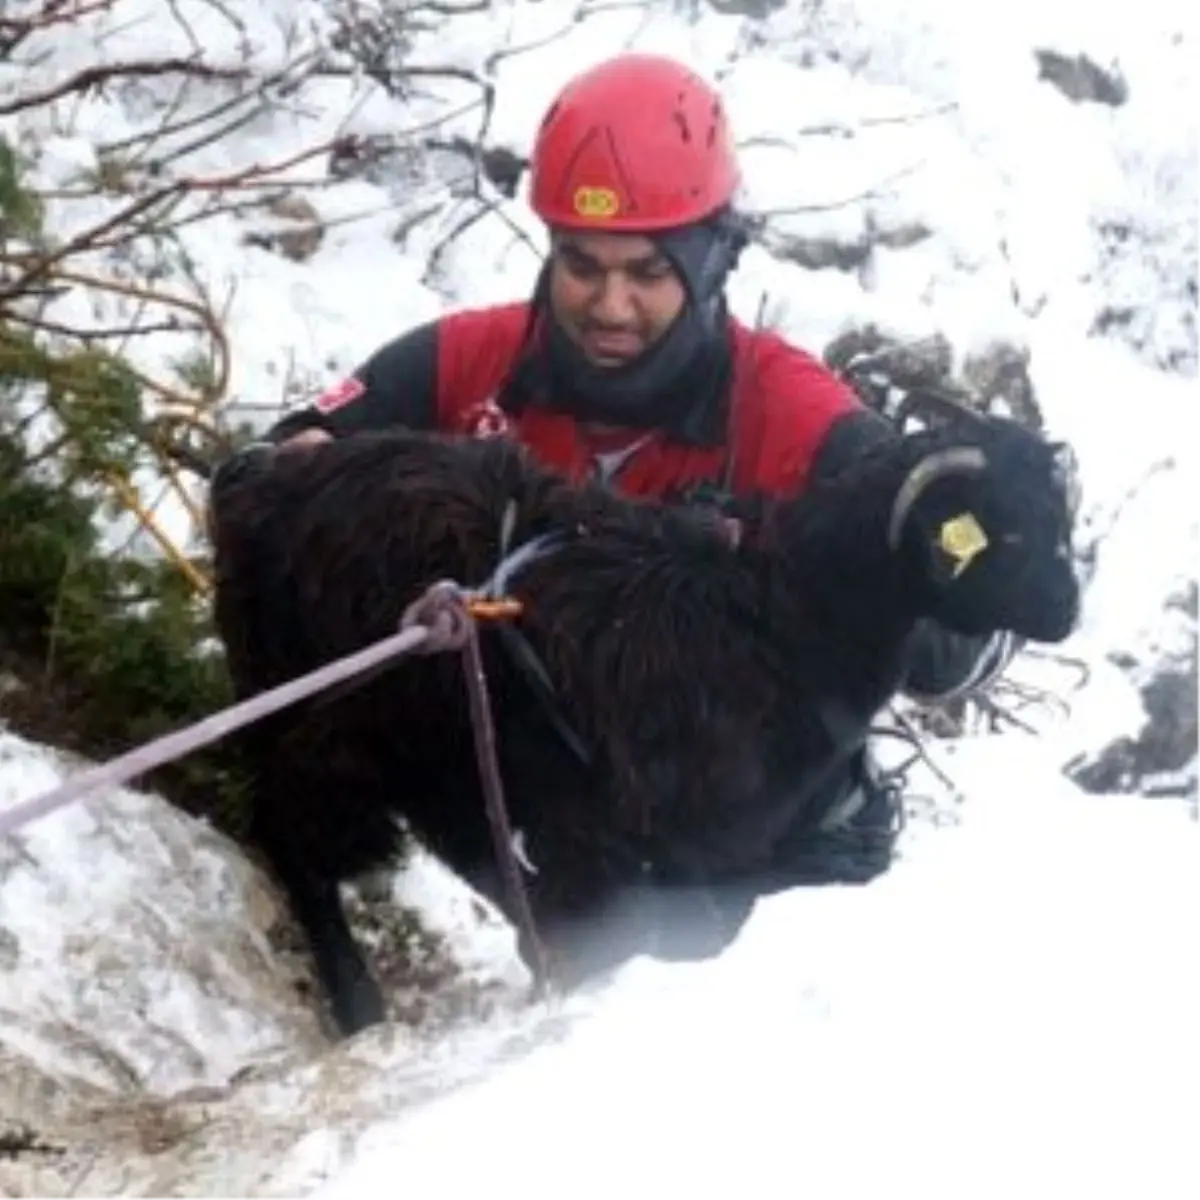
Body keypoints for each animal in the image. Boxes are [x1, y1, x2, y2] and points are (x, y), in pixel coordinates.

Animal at [211, 417, 1084, 1036]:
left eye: (1059, 522)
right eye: (1003, 533)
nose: (1068, 611)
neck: (781, 624)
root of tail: (257, 478)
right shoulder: (665, 834)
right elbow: (699, 922)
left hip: (440, 745)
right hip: (320, 724)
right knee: (293, 841)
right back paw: (360, 1005)